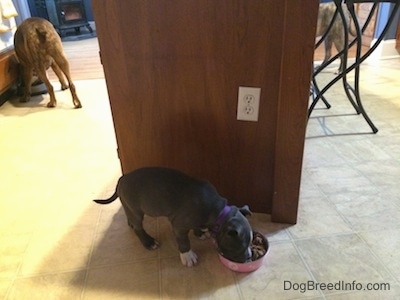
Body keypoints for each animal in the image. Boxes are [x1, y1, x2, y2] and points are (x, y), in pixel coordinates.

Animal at [93, 166, 253, 268]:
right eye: (241, 246)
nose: (249, 257)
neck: (218, 212)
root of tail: (122, 178)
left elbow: (197, 226)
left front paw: (200, 233)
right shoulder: (179, 226)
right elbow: (184, 242)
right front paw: (187, 256)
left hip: (129, 206)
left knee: (130, 217)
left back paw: (130, 224)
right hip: (136, 210)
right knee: (138, 227)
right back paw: (148, 242)